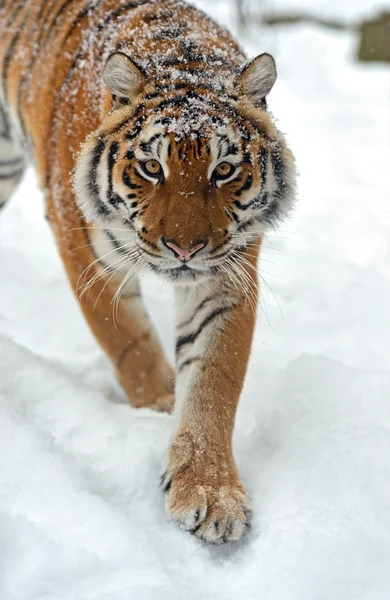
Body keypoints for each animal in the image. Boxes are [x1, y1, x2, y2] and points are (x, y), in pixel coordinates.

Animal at [0, 0, 296, 544]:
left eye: (223, 170)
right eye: (152, 169)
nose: (184, 248)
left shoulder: (226, 273)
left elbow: (215, 376)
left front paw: (209, 490)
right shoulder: (86, 250)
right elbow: (130, 344)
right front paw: (158, 405)